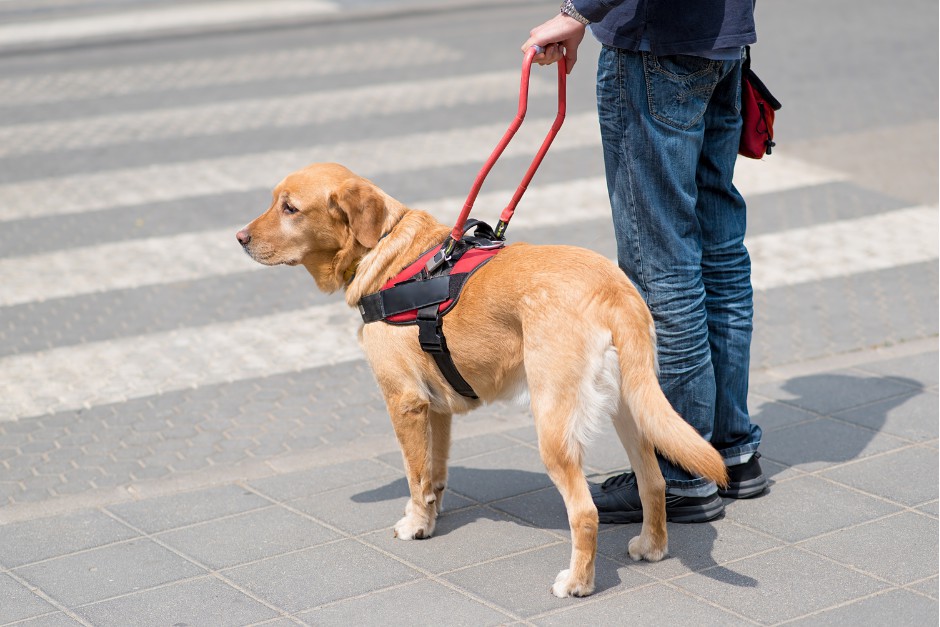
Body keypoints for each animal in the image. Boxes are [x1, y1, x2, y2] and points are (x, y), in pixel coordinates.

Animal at [237, 163, 728, 600]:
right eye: (274, 200)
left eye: (290, 208)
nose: (239, 238)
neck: (387, 249)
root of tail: (614, 290)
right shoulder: (435, 408)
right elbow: (433, 475)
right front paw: (430, 518)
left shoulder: (405, 402)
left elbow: (414, 475)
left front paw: (415, 525)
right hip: (632, 410)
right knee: (654, 483)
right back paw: (652, 547)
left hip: (554, 425)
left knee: (585, 512)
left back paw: (577, 582)